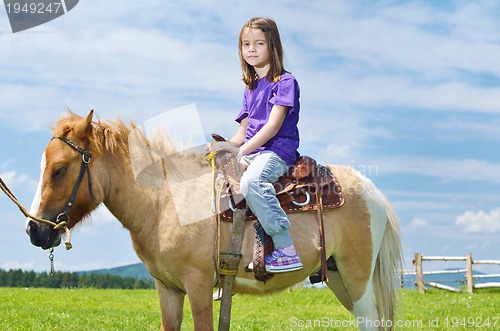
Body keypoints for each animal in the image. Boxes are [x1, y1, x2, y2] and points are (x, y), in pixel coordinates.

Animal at [26, 111, 402, 331]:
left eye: (59, 169)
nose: (34, 230)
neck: (165, 202)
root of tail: (371, 190)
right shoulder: (168, 289)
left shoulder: (199, 285)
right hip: (338, 278)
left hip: (357, 279)